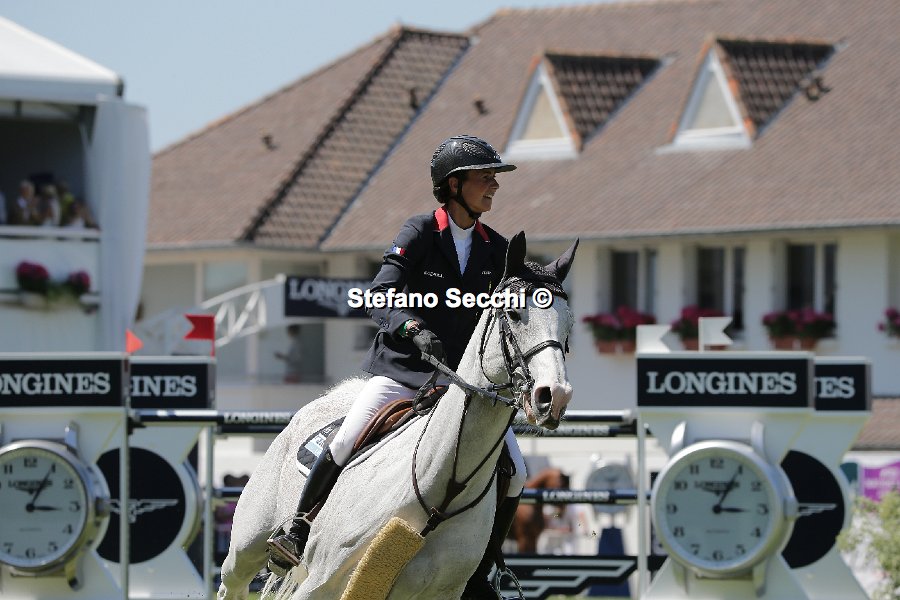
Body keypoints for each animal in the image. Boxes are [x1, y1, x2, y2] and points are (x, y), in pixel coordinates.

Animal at [217, 232, 578, 600]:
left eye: (569, 323)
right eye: (515, 314)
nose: (554, 396)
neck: (441, 486)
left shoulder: (440, 591)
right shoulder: (319, 583)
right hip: (246, 548)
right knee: (233, 583)